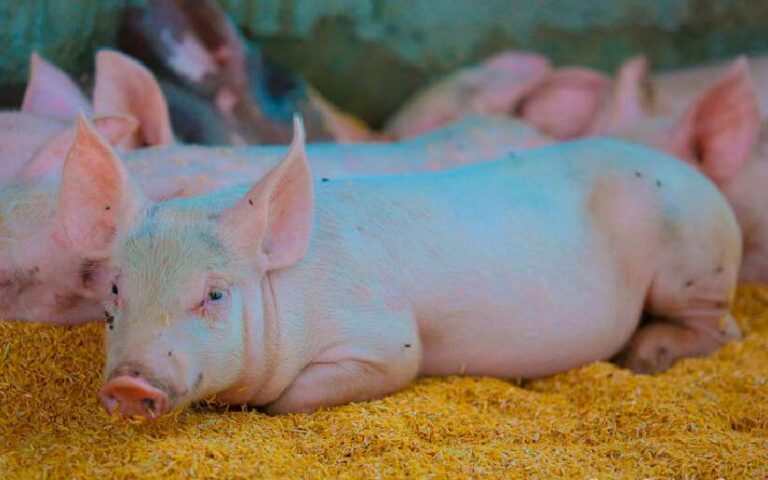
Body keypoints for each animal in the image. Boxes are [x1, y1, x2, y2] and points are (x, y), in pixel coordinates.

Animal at [60, 117, 741, 419]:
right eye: (114, 292)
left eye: (216, 295)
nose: (130, 384)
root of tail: (710, 191)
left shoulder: (384, 339)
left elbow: (298, 397)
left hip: (691, 260)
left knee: (725, 329)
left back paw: (645, 356)